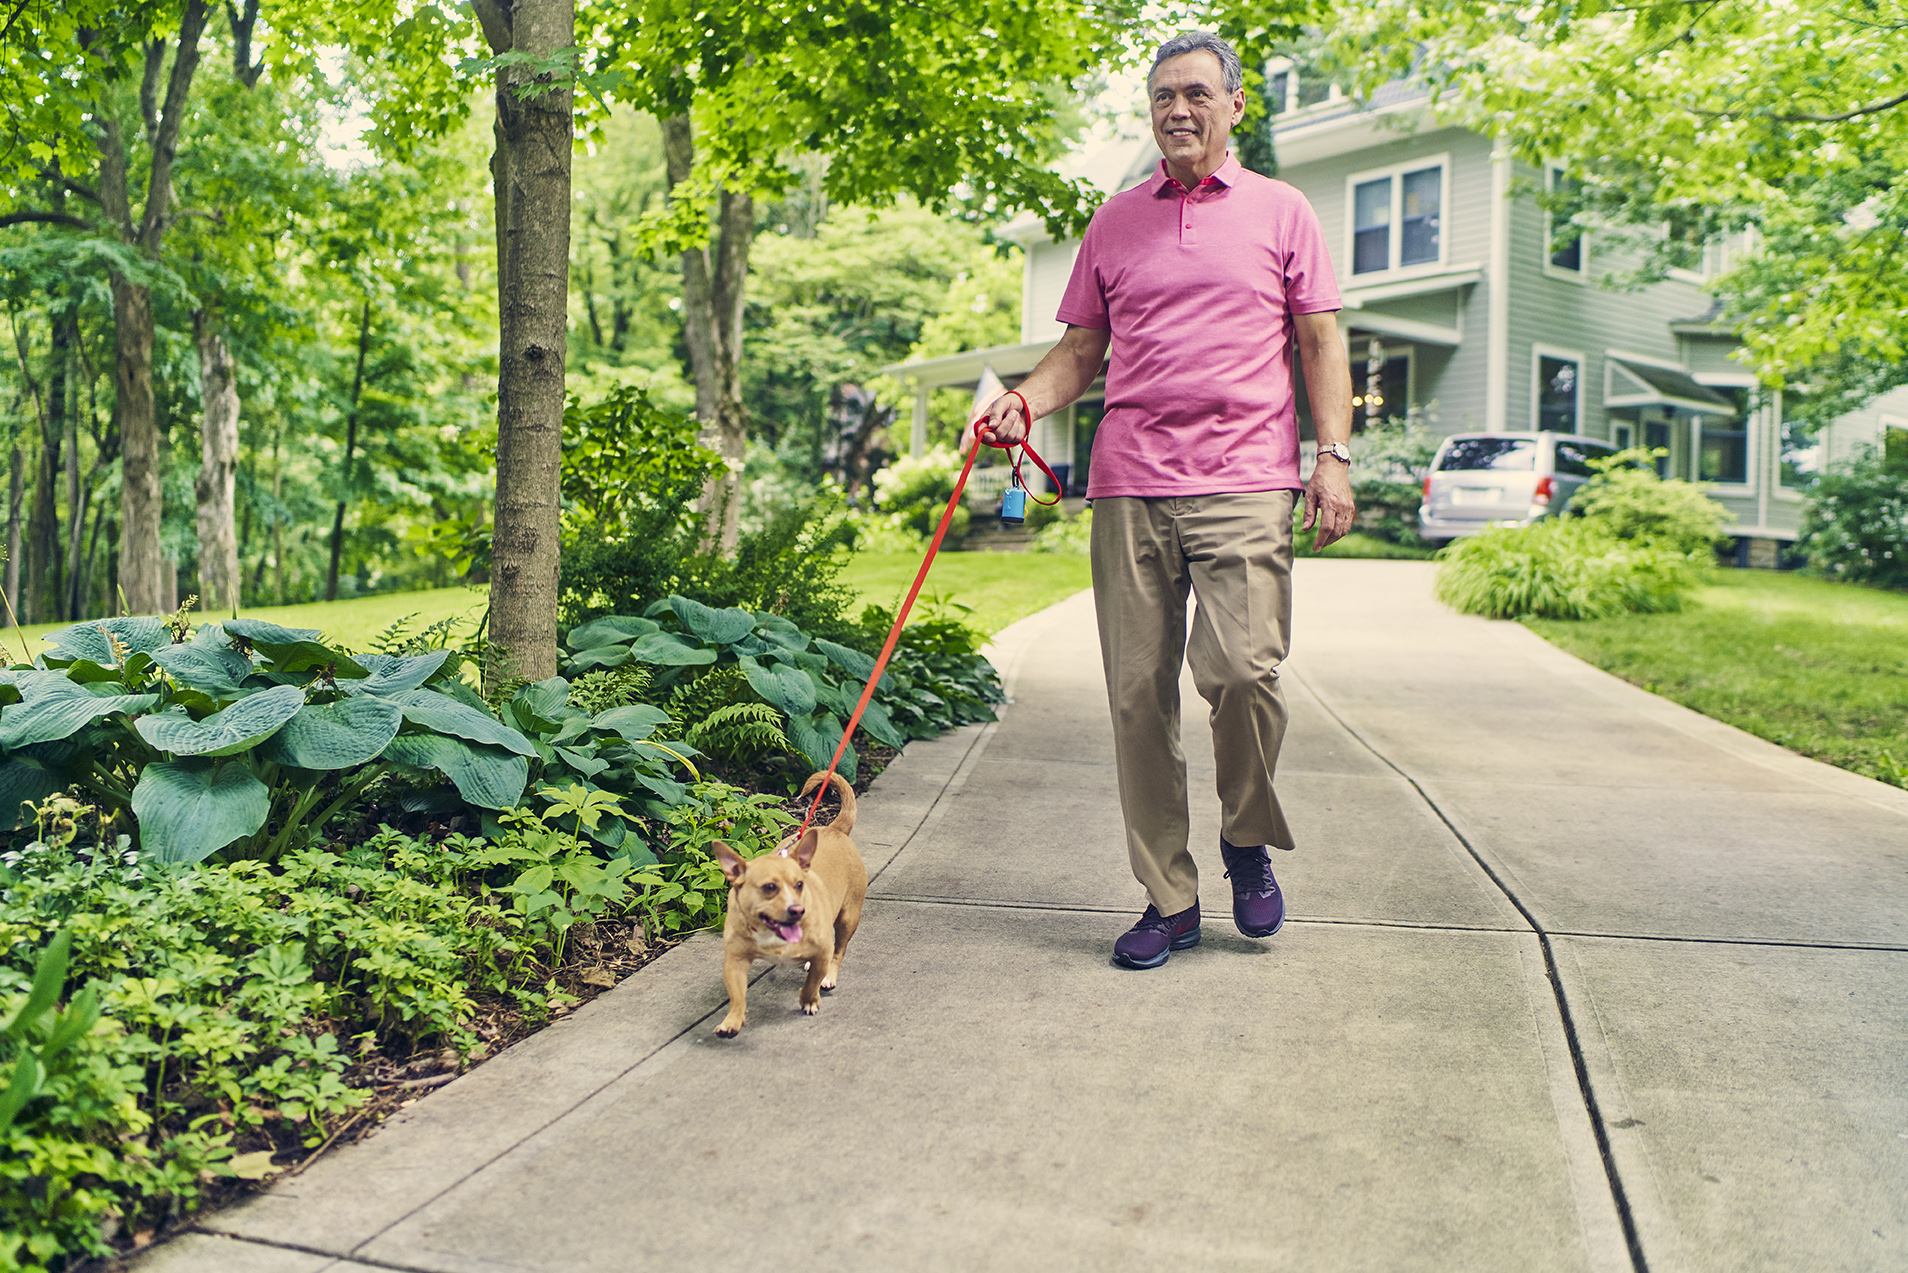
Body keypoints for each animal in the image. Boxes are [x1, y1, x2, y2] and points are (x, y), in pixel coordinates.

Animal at [713, 778, 870, 1038]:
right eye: (769, 887)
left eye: (799, 884)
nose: (797, 910)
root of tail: (835, 829)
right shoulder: (735, 961)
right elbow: (737, 995)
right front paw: (732, 1020)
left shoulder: (822, 951)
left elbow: (812, 983)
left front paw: (809, 1000)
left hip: (848, 918)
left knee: (838, 950)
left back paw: (829, 975)